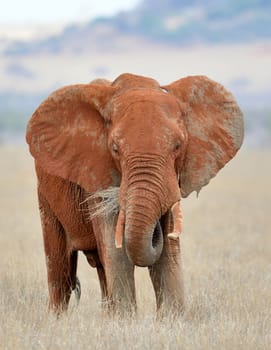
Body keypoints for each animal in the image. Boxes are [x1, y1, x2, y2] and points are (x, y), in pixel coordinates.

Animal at [26, 72, 245, 316]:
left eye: (178, 146)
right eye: (114, 149)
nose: (155, 230)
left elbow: (167, 254)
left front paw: (170, 319)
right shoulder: (98, 174)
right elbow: (117, 251)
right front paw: (125, 321)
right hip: (45, 195)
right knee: (60, 269)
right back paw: (58, 319)